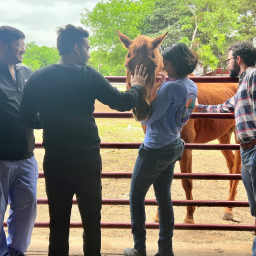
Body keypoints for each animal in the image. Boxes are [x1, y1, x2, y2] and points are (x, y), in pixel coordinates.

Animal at [117, 30, 241, 224]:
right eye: (127, 64)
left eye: (154, 65)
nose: (142, 110)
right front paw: (157, 215)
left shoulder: (187, 147)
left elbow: (187, 181)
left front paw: (189, 216)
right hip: (223, 136)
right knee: (231, 165)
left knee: (237, 169)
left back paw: (229, 210)